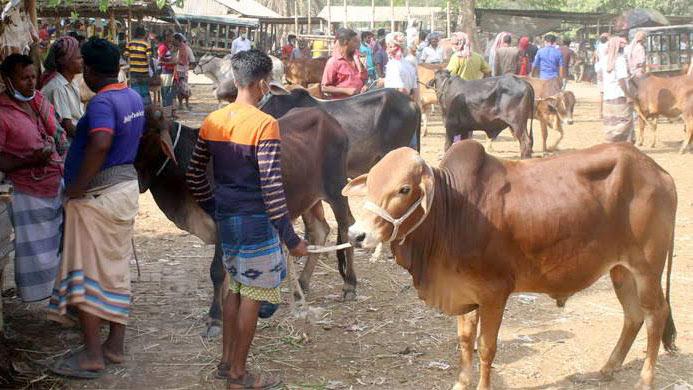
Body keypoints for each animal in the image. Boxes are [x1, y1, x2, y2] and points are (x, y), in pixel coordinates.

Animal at [140, 107, 356, 338]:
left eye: (145, 134)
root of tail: (328, 118)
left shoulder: (221, 225)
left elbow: (217, 271)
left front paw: (214, 318)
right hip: (307, 198)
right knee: (320, 229)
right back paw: (303, 283)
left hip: (337, 189)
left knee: (346, 226)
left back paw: (350, 285)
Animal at [344, 141, 680, 390]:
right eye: (370, 181)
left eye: (404, 189)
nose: (357, 235)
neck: (452, 210)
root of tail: (660, 172)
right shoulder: (464, 292)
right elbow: (465, 342)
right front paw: (461, 384)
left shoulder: (494, 292)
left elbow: (486, 347)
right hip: (620, 270)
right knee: (633, 316)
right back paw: (608, 368)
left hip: (647, 268)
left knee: (656, 315)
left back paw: (645, 380)